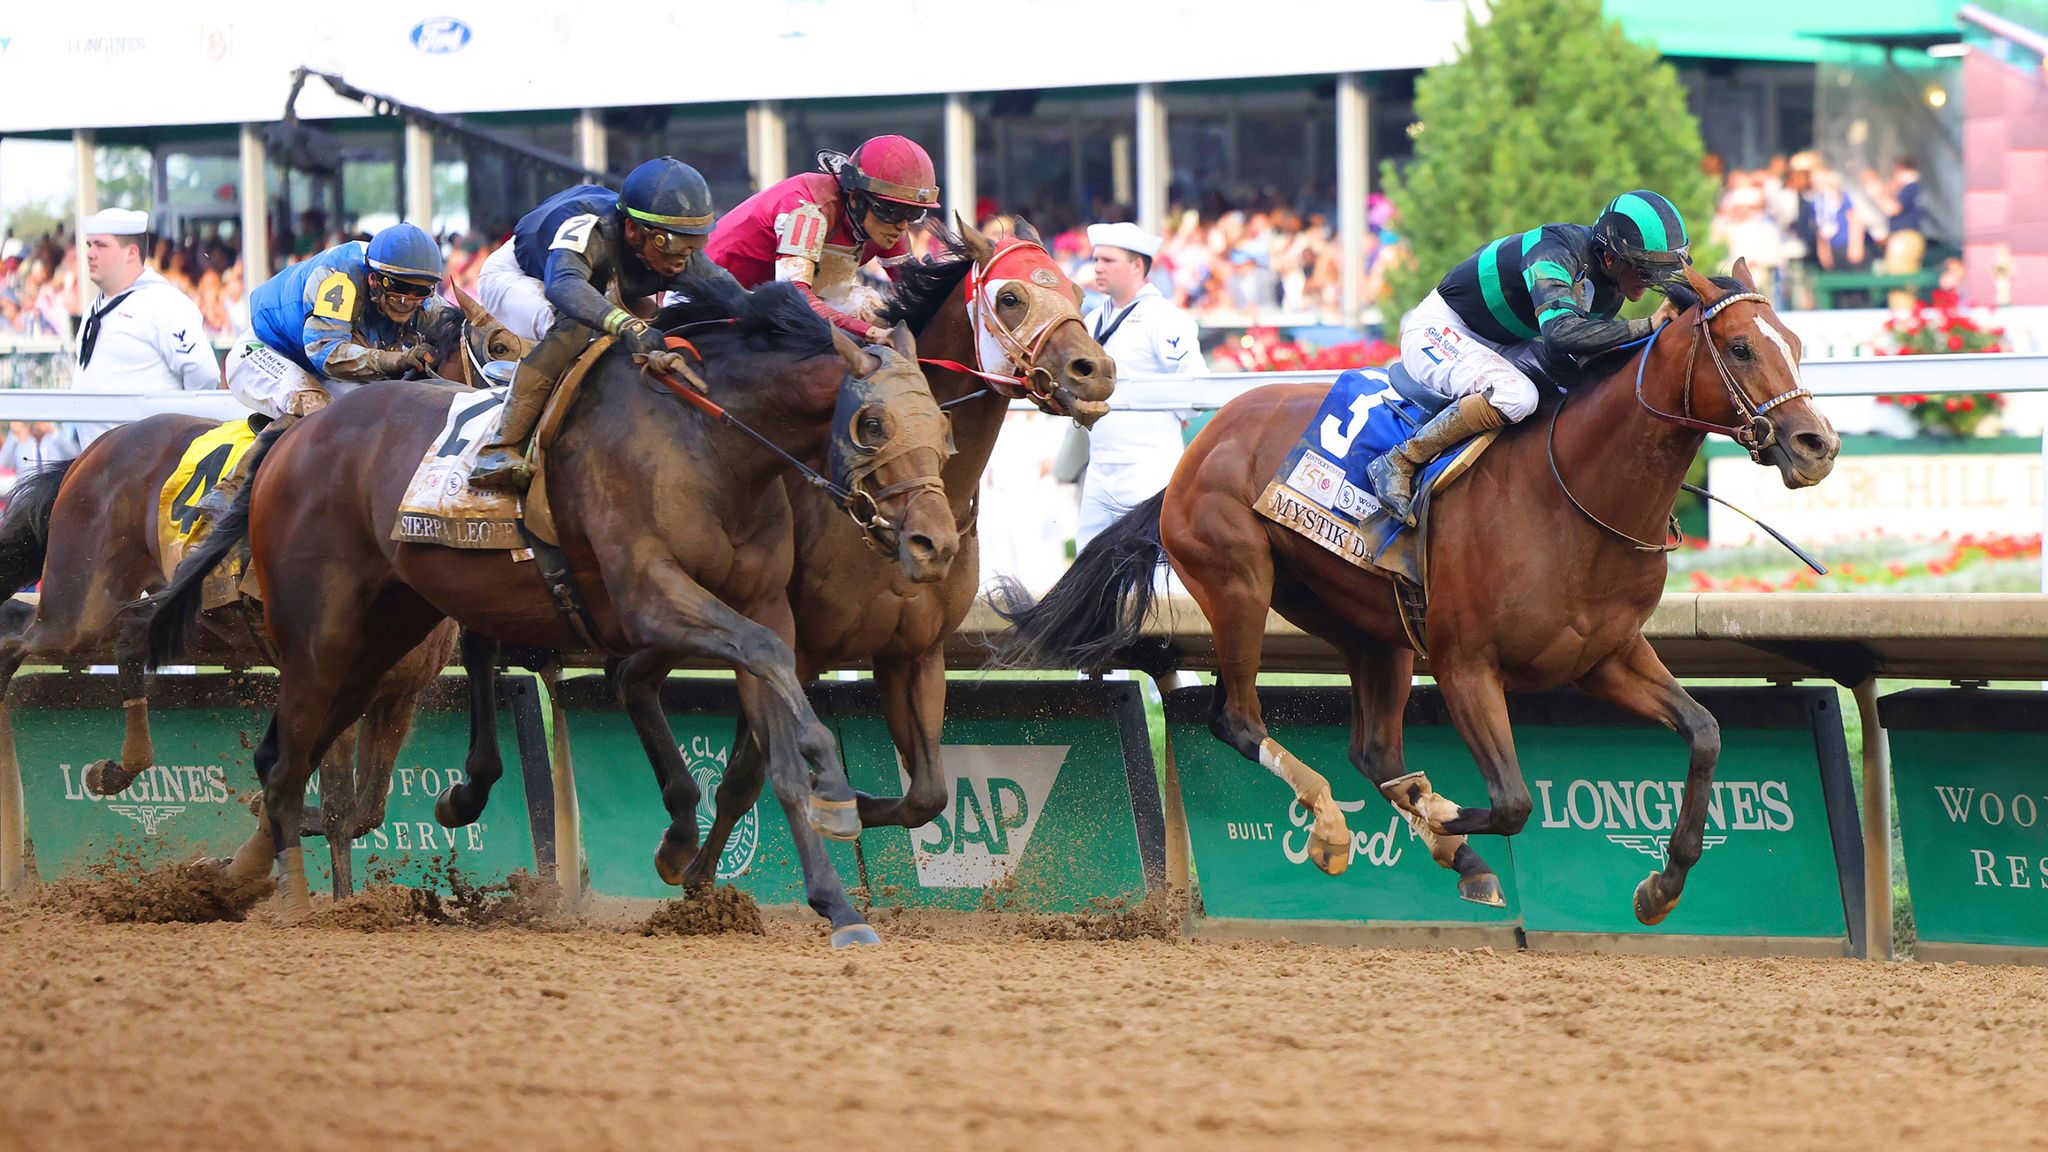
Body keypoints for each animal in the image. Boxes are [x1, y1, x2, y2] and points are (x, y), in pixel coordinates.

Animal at [991, 262, 1843, 922]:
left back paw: (1450, 853)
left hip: (1372, 627)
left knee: (1373, 747)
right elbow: (1514, 801)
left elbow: (1705, 733)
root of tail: (1197, 448)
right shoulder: (1468, 665)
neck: (1575, 493)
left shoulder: (1606, 657)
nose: (1818, 445)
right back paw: (1337, 829)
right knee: (1237, 716)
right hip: (1238, 583)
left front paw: (1660, 887)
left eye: (1799, 346)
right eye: (1741, 346)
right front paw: (1438, 813)